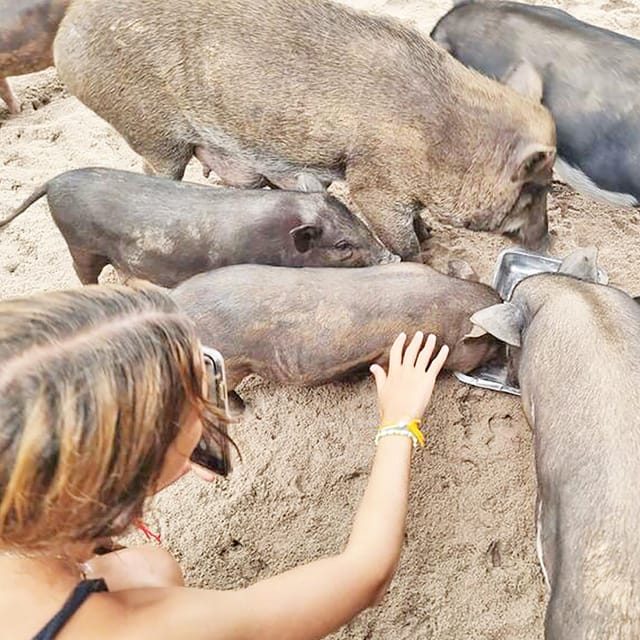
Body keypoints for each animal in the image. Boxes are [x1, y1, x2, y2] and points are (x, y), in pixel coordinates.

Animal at [1, 168, 396, 284]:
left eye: (357, 219)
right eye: (342, 245)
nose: (390, 257)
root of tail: (53, 180)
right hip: (80, 244)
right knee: (82, 272)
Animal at [53, 0, 556, 262]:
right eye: (531, 192)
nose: (548, 243)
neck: (445, 139)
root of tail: (64, 33)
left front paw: (429, 232)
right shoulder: (373, 181)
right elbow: (402, 239)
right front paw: (426, 252)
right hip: (153, 133)